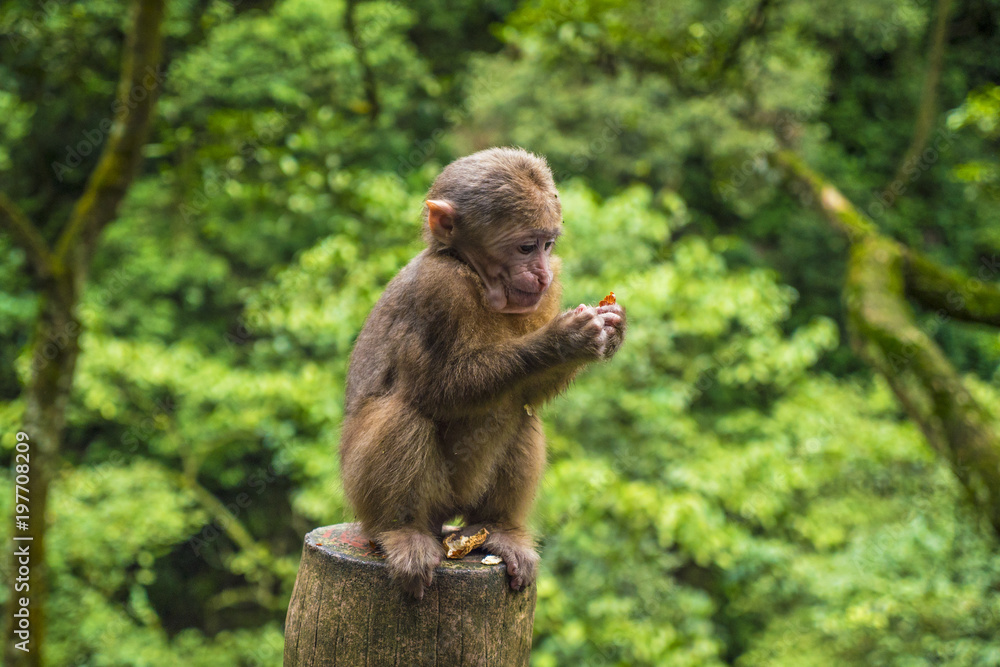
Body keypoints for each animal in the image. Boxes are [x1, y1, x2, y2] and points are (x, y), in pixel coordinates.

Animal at [340, 146, 628, 600]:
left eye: (548, 245)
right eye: (526, 247)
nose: (542, 273)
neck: (476, 277)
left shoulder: (548, 293)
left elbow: (530, 393)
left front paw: (612, 329)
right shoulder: (440, 288)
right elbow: (436, 390)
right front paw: (562, 340)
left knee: (520, 413)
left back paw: (498, 529)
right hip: (368, 491)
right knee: (405, 412)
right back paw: (402, 530)